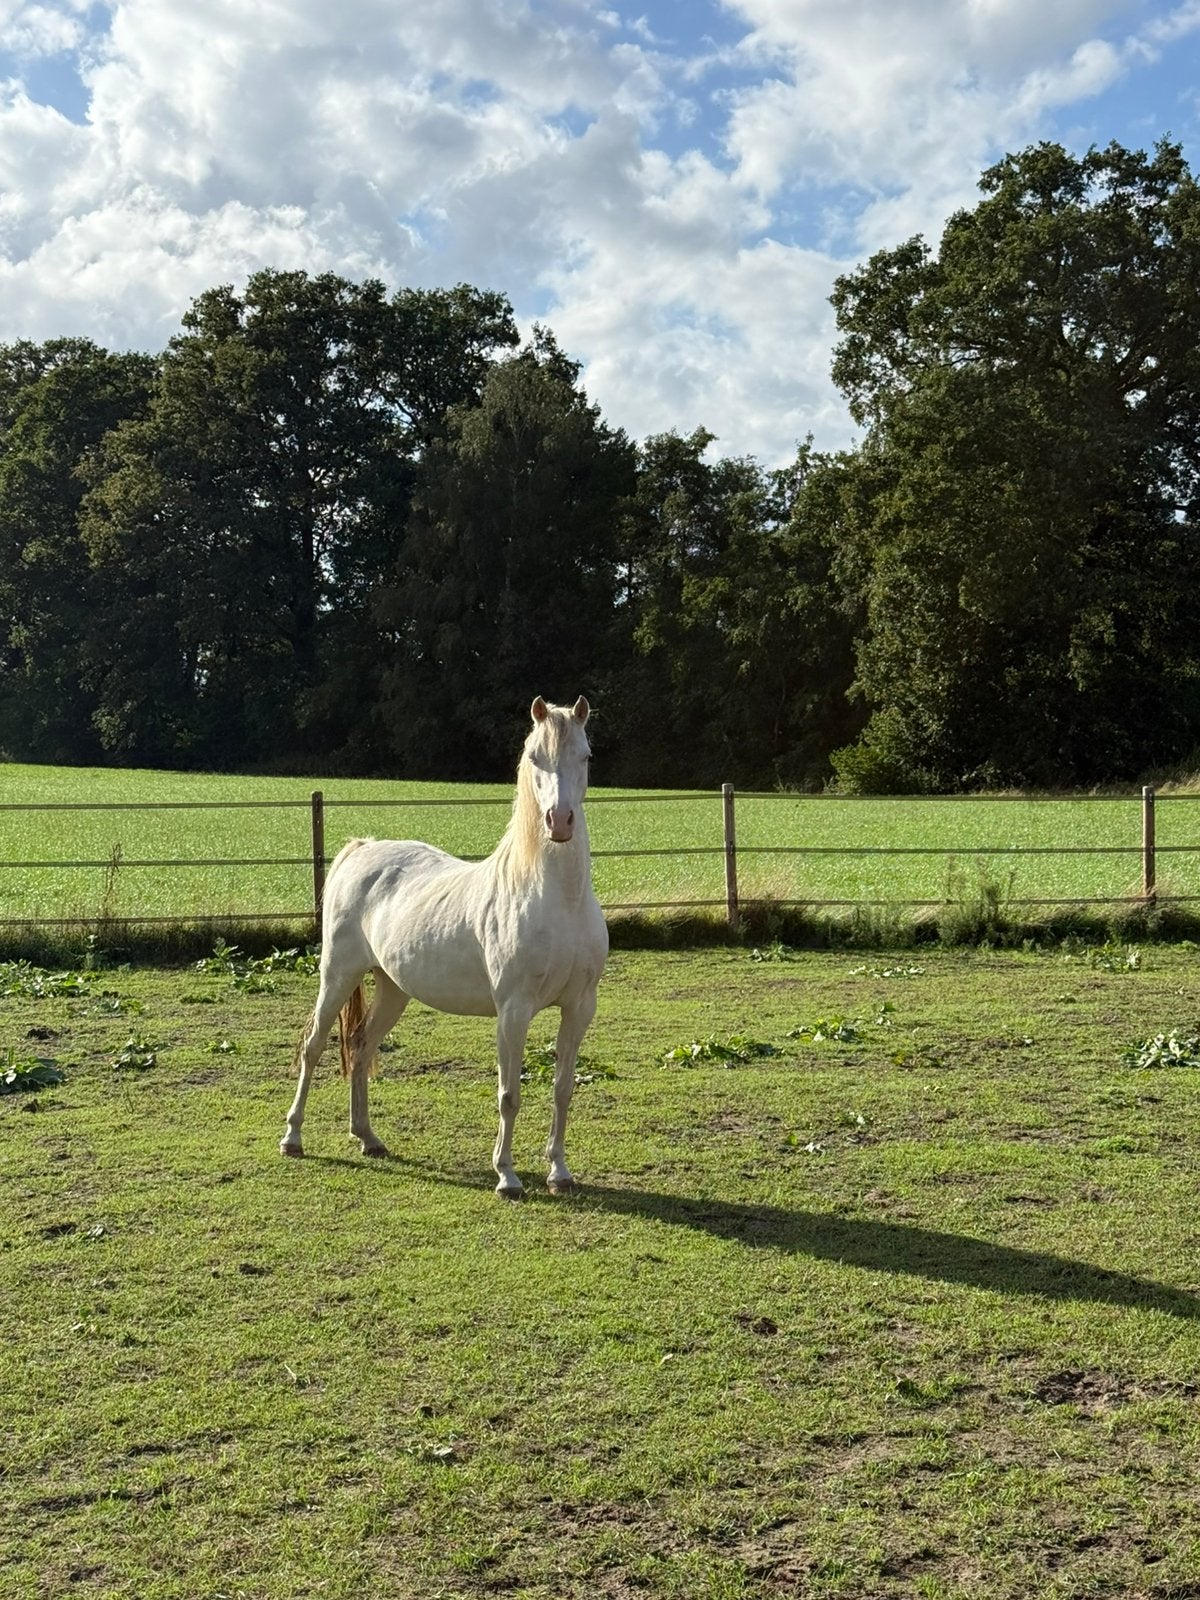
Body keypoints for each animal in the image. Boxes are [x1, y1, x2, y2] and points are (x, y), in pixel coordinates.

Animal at [280, 695, 608, 1197]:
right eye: (535, 757)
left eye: (586, 756)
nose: (559, 822)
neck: (557, 898)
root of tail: (362, 850)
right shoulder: (513, 1011)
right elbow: (509, 1094)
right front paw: (506, 1175)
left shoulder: (579, 1007)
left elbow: (562, 1088)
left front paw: (559, 1171)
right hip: (338, 974)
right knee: (314, 1046)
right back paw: (293, 1138)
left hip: (392, 988)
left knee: (360, 1046)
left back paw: (368, 1137)